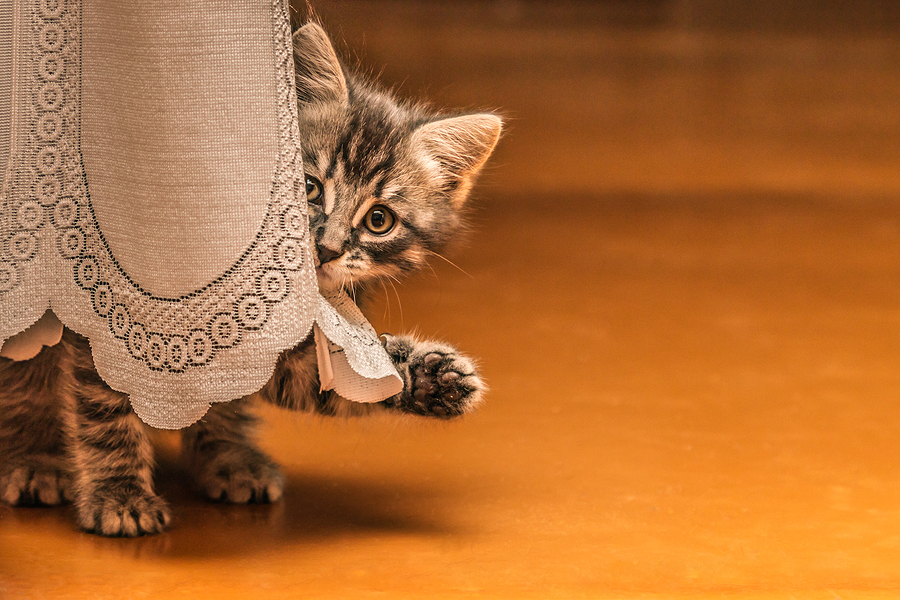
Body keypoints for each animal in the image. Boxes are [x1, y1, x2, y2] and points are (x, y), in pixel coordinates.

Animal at [0, 24, 500, 540]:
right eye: (308, 187)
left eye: (379, 220)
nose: (327, 248)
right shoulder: (107, 310)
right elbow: (104, 408)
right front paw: (119, 495)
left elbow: (331, 379)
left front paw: (428, 377)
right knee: (27, 380)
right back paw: (36, 460)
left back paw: (229, 457)